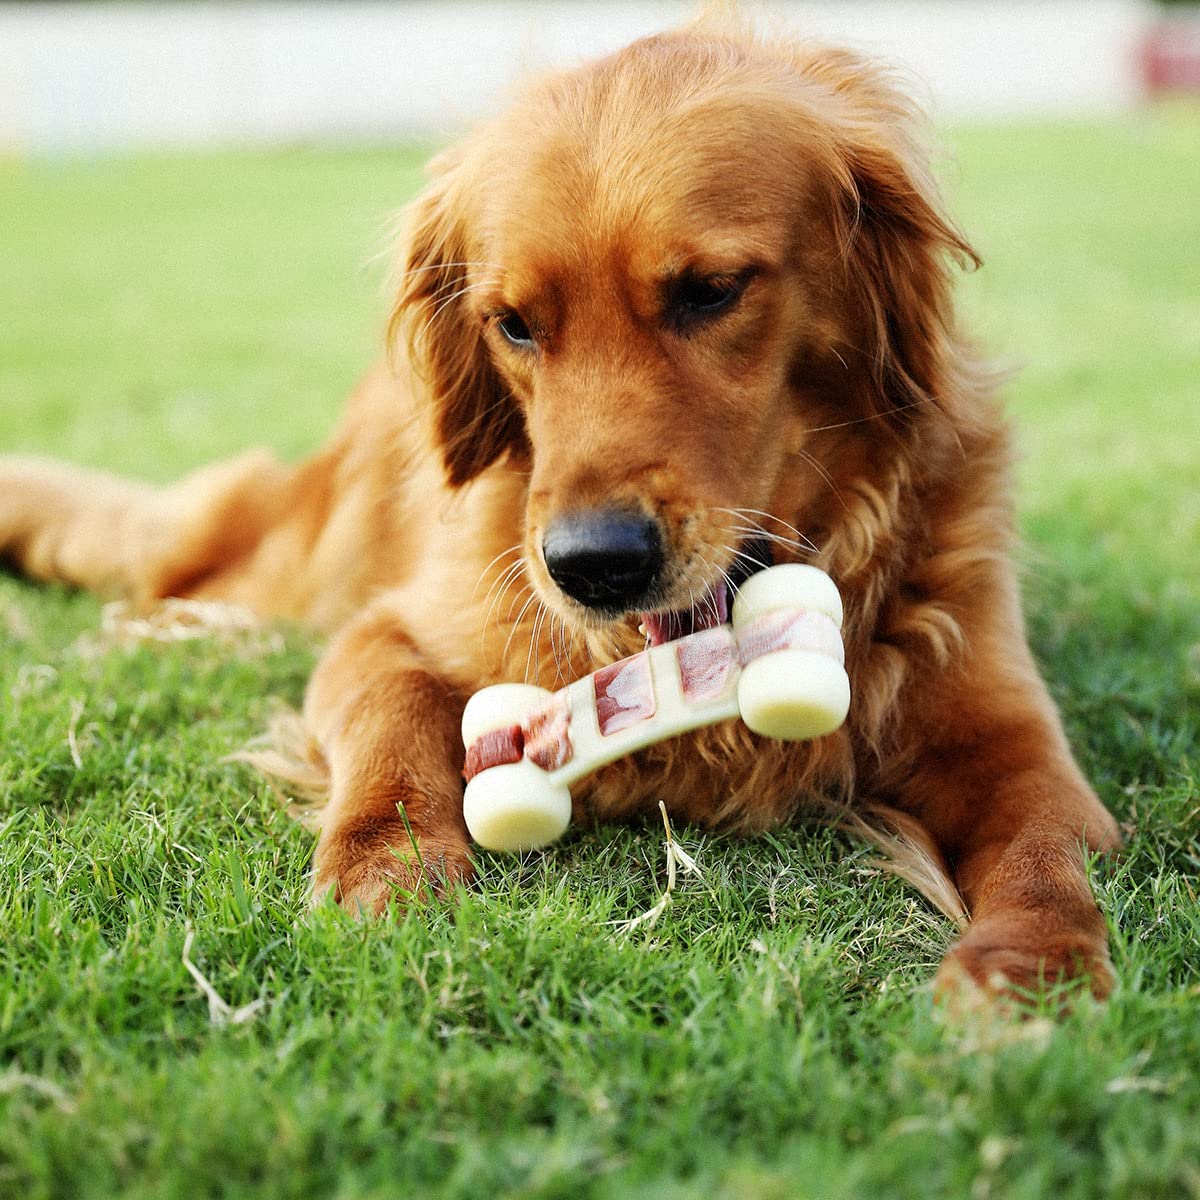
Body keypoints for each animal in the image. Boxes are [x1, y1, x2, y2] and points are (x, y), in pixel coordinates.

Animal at [2, 14, 1123, 998]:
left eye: (711, 290)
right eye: (513, 324)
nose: (594, 565)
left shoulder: (1009, 736)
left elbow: (1042, 846)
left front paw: (1030, 974)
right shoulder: (388, 631)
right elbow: (391, 728)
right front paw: (383, 875)